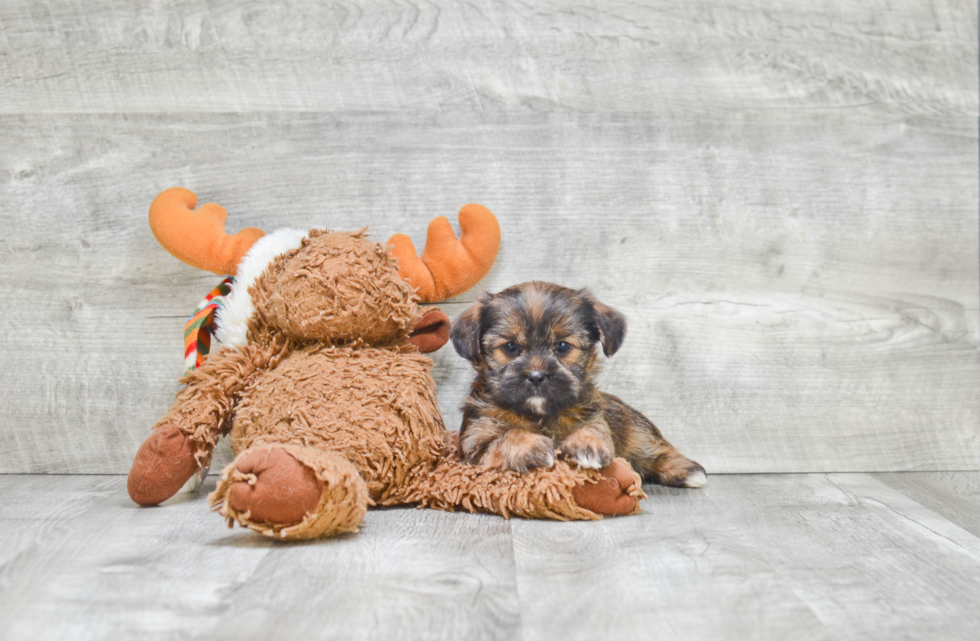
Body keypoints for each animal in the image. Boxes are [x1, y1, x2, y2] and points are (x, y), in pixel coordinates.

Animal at [452, 282, 704, 488]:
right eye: (510, 347)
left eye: (563, 346)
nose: (536, 376)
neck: (540, 415)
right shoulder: (477, 440)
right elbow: (506, 437)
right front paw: (530, 446)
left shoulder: (595, 417)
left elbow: (592, 428)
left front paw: (587, 445)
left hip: (638, 433)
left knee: (654, 451)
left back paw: (688, 473)